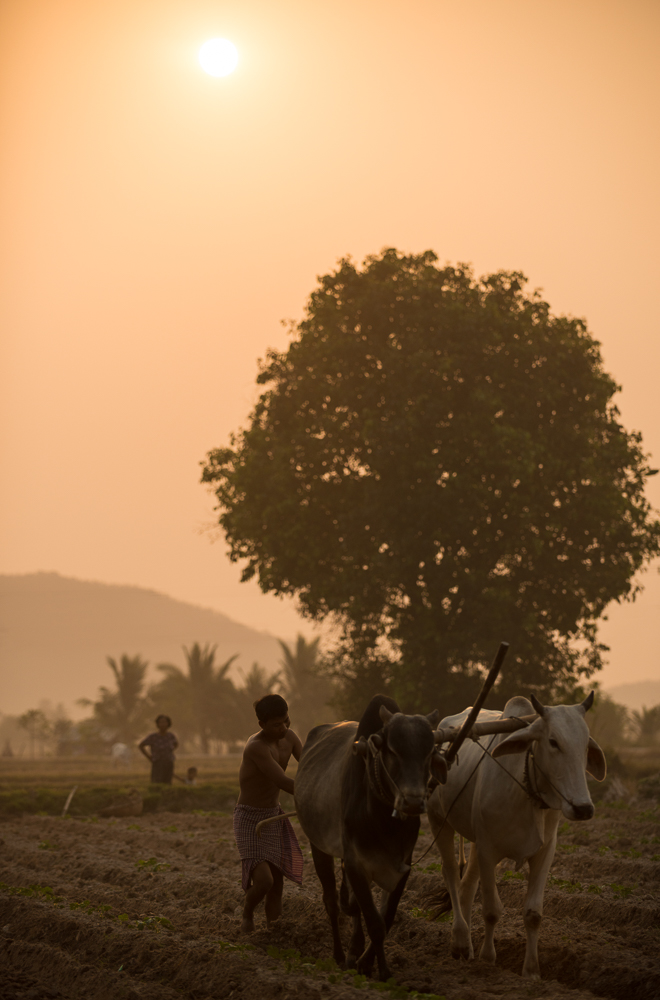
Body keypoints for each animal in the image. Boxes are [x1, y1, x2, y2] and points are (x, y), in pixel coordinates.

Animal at [294, 695, 448, 981]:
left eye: (428, 753)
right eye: (393, 751)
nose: (412, 802)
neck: (383, 817)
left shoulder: (403, 866)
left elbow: (385, 918)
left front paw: (367, 962)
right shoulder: (355, 863)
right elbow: (374, 921)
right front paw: (380, 969)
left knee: (352, 906)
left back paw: (354, 949)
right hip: (318, 847)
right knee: (332, 902)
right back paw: (339, 955)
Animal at [427, 691, 607, 979]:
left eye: (585, 745)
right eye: (553, 742)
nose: (583, 808)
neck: (525, 787)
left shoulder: (544, 853)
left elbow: (533, 914)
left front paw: (531, 971)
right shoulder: (489, 851)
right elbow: (491, 910)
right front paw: (488, 959)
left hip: (475, 842)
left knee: (467, 886)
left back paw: (466, 947)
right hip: (438, 820)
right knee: (451, 875)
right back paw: (460, 939)